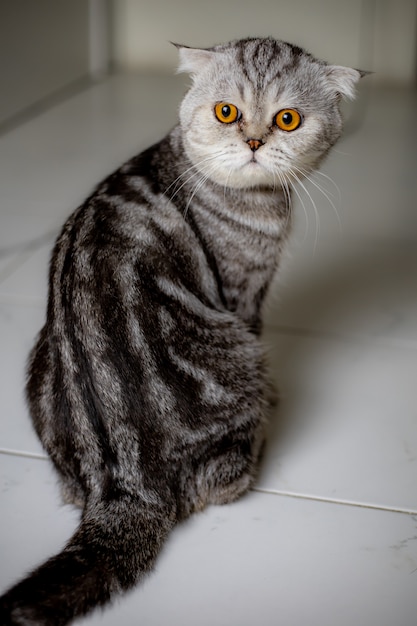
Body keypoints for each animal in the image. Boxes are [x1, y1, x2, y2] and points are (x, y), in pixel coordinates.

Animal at [0, 36, 362, 620]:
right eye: (226, 112)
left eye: (287, 119)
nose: (255, 140)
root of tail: (126, 483)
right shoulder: (243, 295)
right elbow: (260, 334)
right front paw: (276, 394)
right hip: (232, 359)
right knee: (224, 480)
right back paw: (260, 440)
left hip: (38, 364)